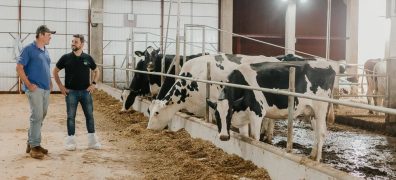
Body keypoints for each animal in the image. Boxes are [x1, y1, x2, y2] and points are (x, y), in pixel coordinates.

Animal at [207, 60, 338, 162]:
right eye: (216, 115)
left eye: (229, 114)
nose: (224, 137)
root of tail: (329, 65)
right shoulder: (242, 118)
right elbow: (244, 137)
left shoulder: (257, 113)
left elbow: (254, 138)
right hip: (312, 112)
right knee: (318, 132)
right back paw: (312, 156)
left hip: (321, 108)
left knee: (321, 133)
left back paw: (317, 160)